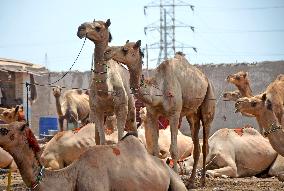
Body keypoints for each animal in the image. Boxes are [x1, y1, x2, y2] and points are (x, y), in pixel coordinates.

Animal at [103, 39, 215, 187]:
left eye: (125, 49)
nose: (107, 52)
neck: (159, 91)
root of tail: (205, 78)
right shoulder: (152, 115)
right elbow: (155, 150)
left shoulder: (174, 115)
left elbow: (174, 150)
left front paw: (177, 179)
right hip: (192, 115)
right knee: (196, 143)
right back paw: (191, 182)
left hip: (209, 101)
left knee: (205, 142)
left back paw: (202, 181)